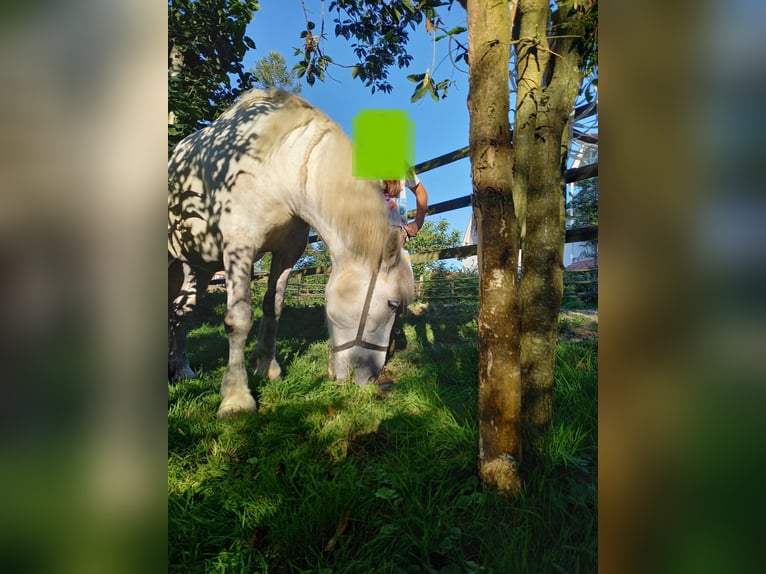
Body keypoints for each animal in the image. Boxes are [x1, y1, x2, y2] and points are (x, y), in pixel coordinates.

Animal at [168, 89, 414, 417]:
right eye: (391, 305)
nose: (375, 379)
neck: (276, 167)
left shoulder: (286, 254)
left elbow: (273, 308)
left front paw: (266, 368)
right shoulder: (239, 250)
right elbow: (239, 319)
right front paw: (236, 397)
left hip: (199, 267)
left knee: (182, 312)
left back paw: (180, 368)